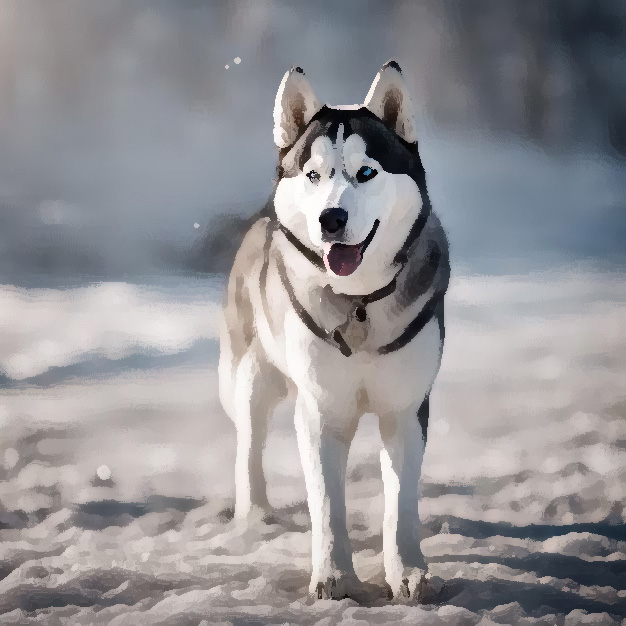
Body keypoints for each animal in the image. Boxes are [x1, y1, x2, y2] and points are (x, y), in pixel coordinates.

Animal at [219, 62, 448, 600]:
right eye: (313, 175)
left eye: (366, 172)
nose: (331, 218)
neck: (359, 303)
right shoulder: (320, 408)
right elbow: (326, 501)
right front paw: (334, 574)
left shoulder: (405, 408)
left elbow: (401, 500)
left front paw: (406, 571)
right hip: (251, 374)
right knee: (249, 441)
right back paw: (254, 516)